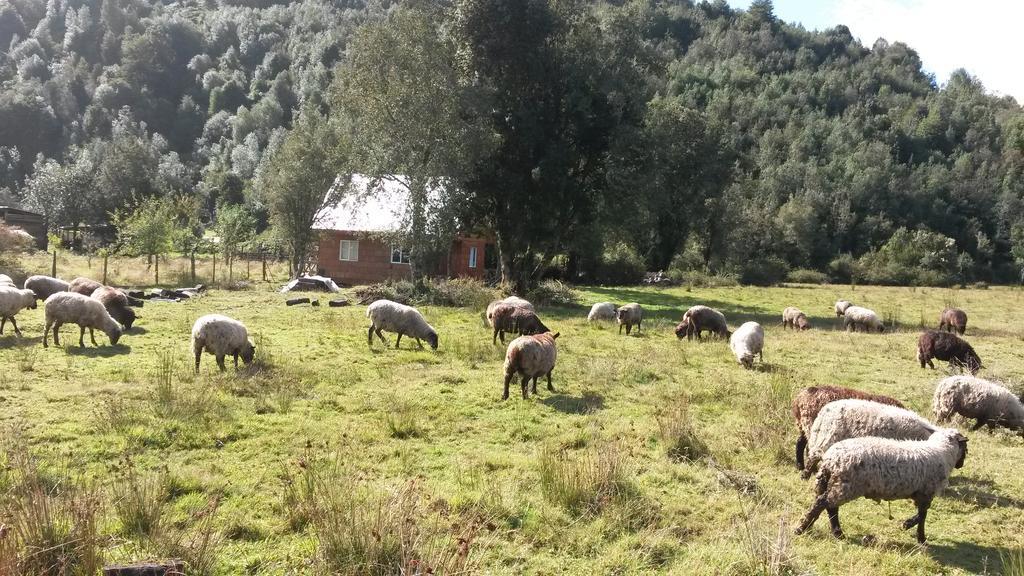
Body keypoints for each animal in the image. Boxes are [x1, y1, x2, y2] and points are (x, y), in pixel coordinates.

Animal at [790, 426, 966, 541]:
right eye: (965, 447)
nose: (961, 464)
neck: (942, 452)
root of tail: (831, 459)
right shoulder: (926, 492)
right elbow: (922, 516)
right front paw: (918, 535)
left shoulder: (920, 493)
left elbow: (921, 514)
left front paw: (908, 526)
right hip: (846, 486)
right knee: (823, 504)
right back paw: (803, 528)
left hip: (831, 483)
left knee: (829, 507)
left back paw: (836, 533)